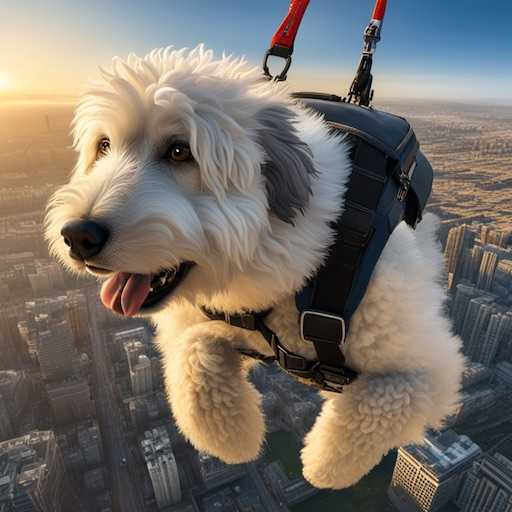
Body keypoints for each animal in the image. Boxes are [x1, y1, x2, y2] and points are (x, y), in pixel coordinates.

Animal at [46, 44, 466, 488]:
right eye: (103, 145)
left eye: (180, 150)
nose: (77, 236)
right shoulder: (207, 320)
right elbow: (193, 353)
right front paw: (232, 438)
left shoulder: (428, 366)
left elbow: (382, 401)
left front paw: (325, 464)